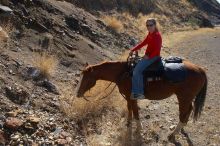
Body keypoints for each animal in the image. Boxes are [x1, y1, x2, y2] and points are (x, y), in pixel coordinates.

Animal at [76, 59, 207, 140]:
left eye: (87, 78)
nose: (78, 93)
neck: (123, 73)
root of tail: (200, 69)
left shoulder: (132, 97)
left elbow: (135, 112)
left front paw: (139, 128)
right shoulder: (128, 97)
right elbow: (129, 109)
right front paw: (128, 123)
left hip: (183, 98)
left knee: (183, 113)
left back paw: (172, 134)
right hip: (187, 98)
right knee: (189, 110)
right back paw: (182, 128)